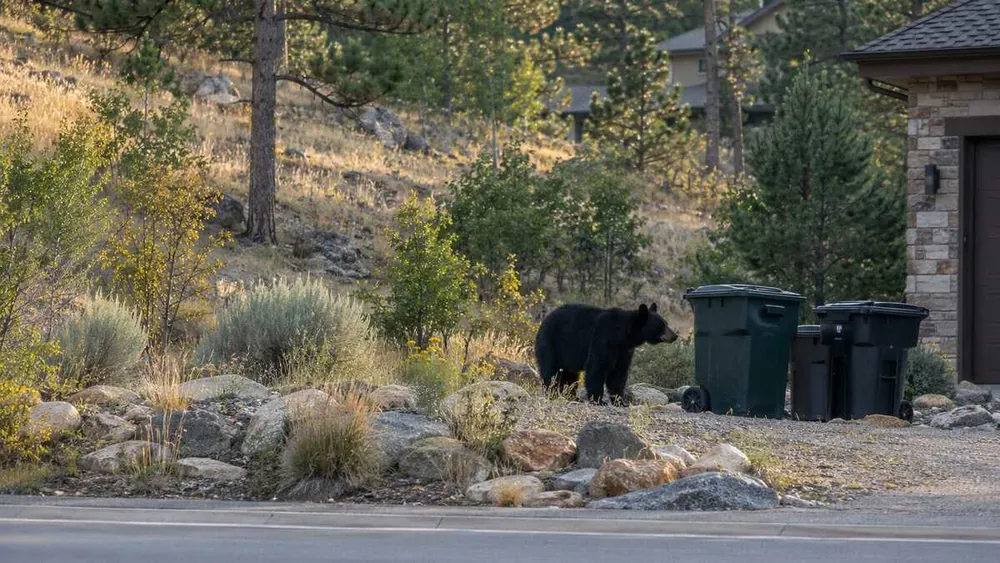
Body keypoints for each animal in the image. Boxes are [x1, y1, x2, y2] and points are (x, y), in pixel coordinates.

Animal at [534, 303, 678, 405]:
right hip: (551, 342)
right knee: (550, 370)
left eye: (666, 323)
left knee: (570, 375)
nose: (675, 335)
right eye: (661, 325)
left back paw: (571, 397)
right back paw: (552, 393)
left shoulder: (624, 350)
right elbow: (597, 367)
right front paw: (599, 400)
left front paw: (620, 401)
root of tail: (544, 320)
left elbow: (618, 374)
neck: (623, 335)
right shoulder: (603, 339)